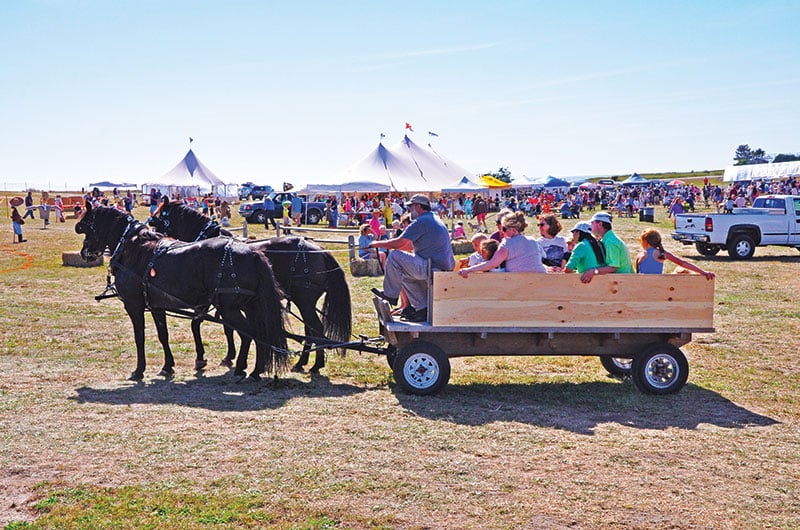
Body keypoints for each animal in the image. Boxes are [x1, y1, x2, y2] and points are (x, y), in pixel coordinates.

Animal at [76, 202, 290, 380]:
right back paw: (254, 369)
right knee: (258, 333)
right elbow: (163, 335)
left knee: (249, 333)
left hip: (230, 308)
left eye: (87, 226)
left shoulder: (134, 305)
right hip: (249, 306)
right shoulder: (157, 306)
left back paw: (244, 368)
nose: (84, 253)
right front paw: (168, 366)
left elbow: (140, 337)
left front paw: (139, 370)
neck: (132, 249)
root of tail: (252, 252)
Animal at [150, 198, 350, 372]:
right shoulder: (223, 301)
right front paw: (230, 356)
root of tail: (321, 250)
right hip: (304, 303)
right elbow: (228, 327)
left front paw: (203, 358)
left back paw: (314, 364)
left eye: (158, 217)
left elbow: (197, 323)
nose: (155, 236)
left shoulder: (211, 300)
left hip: (305, 301)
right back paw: (304, 362)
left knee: (316, 329)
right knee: (310, 329)